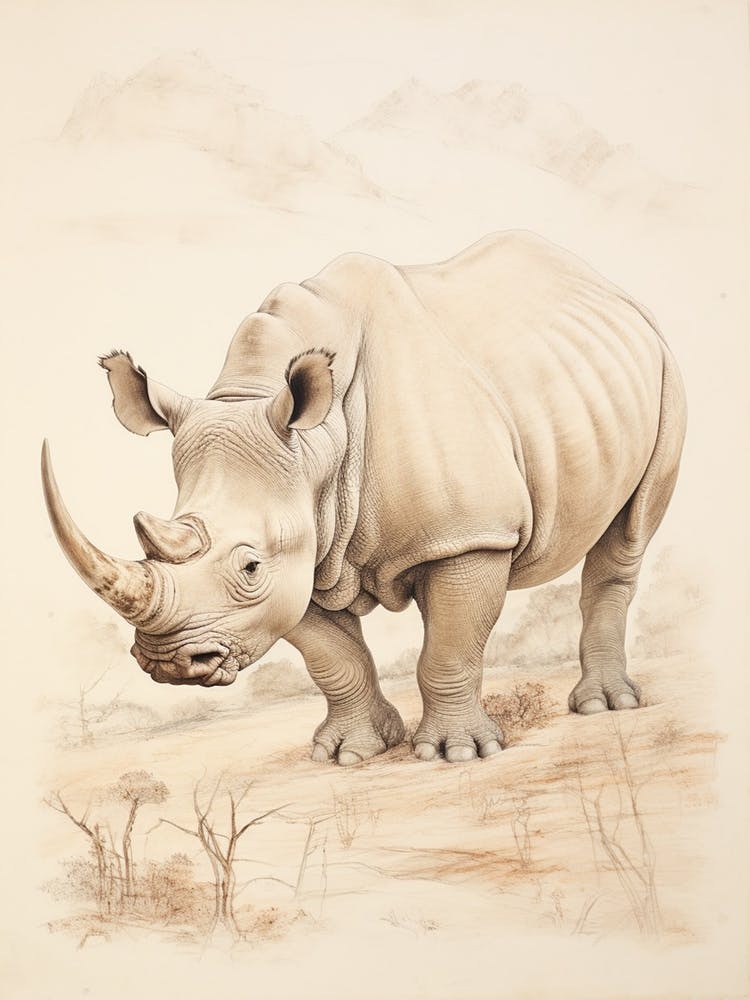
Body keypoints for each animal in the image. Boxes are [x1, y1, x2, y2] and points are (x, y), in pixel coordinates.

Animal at [42, 231, 686, 765]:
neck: (316, 447)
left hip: (663, 369)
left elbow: (450, 646)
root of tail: (601, 282)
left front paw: (455, 755)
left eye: (249, 567)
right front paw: (349, 754)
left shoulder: (469, 535)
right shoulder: (304, 546)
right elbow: (333, 659)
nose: (169, 662)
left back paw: (605, 707)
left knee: (629, 532)